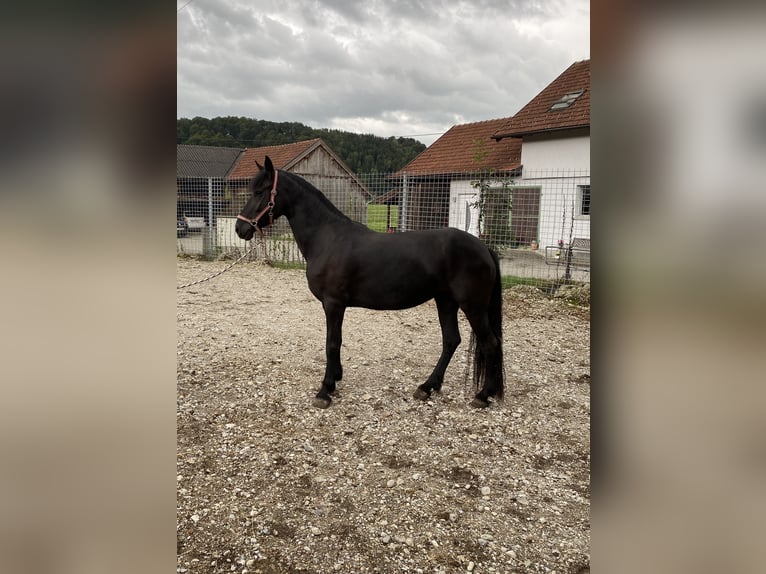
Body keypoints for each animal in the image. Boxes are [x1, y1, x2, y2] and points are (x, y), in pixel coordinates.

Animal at [237, 156, 508, 410]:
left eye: (260, 191)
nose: (241, 228)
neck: (327, 238)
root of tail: (483, 247)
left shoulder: (333, 303)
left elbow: (332, 343)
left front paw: (325, 390)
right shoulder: (335, 305)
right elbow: (336, 341)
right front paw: (335, 379)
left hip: (472, 306)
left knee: (490, 343)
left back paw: (483, 395)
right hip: (446, 301)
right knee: (451, 340)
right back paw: (427, 387)